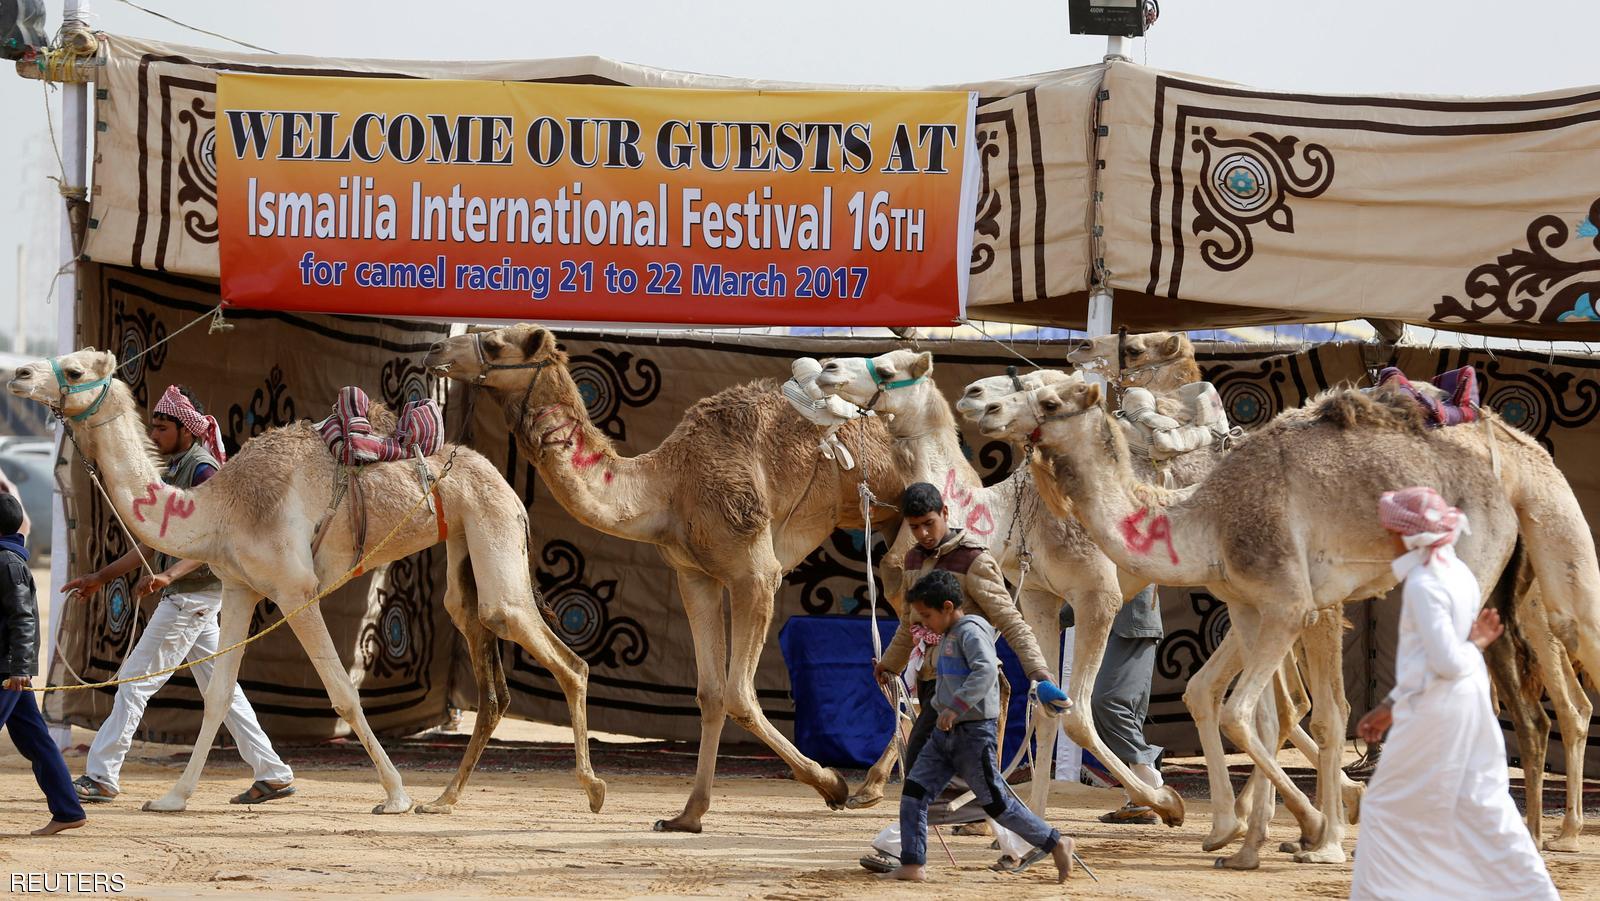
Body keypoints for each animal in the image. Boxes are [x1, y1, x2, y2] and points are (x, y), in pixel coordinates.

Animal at [8, 349, 604, 816]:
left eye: (74, 368)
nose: (17, 373)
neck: (218, 507)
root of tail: (503, 484)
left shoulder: (296, 590)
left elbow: (343, 692)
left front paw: (395, 795)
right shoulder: (240, 589)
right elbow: (219, 695)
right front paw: (174, 797)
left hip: (493, 528)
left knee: (559, 654)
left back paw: (591, 790)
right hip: (466, 546)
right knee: (484, 654)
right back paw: (447, 798)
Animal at [422, 325, 905, 833]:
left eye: (495, 344)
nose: (435, 349)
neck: (667, 488)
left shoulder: (756, 573)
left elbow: (739, 694)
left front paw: (831, 782)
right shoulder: (695, 576)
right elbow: (711, 693)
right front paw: (687, 815)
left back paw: (870, 786)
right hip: (893, 530)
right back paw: (878, 784)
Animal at [978, 377, 1600, 864]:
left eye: (1050, 399)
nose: (984, 407)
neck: (1207, 516)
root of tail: (1512, 473)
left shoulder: (1291, 603)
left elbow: (1253, 713)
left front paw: (1316, 834)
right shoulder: (1252, 606)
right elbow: (1261, 712)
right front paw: (1255, 838)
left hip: (1527, 563)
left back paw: (1552, 835)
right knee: (1522, 708)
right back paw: (1519, 837)